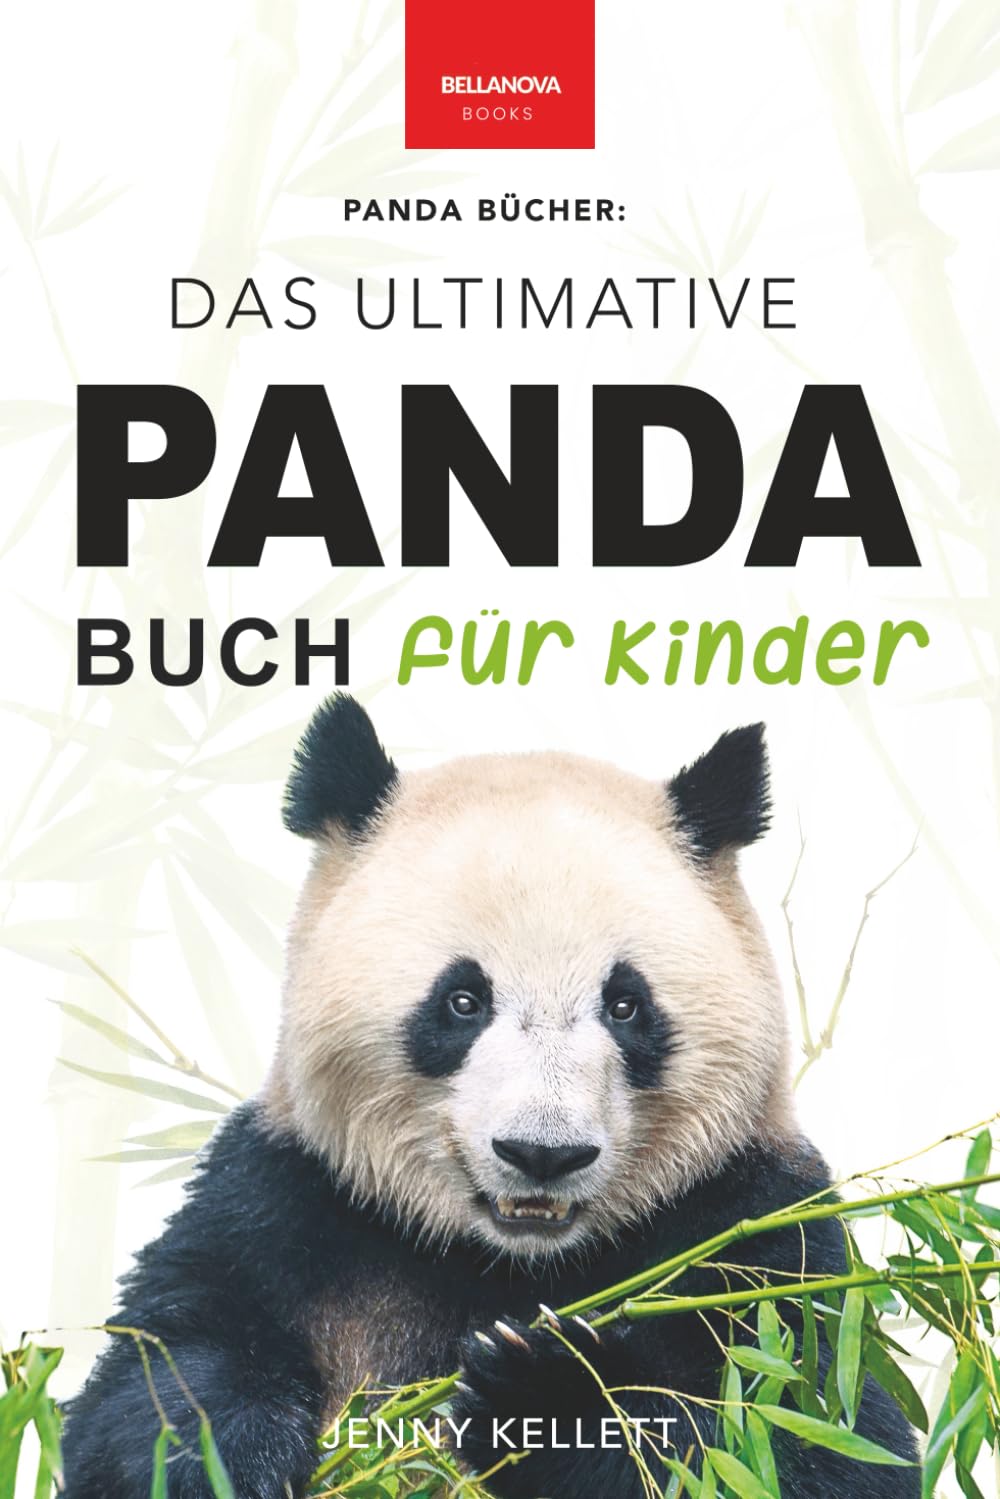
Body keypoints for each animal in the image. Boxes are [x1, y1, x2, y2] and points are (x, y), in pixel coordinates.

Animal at [63, 695, 920, 1499]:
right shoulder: (288, 1200)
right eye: (462, 1000)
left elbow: (807, 1428)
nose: (543, 1152)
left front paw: (544, 1389)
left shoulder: (753, 1228)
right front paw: (224, 1454)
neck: (509, 1261)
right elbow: (160, 1369)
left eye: (626, 1004)